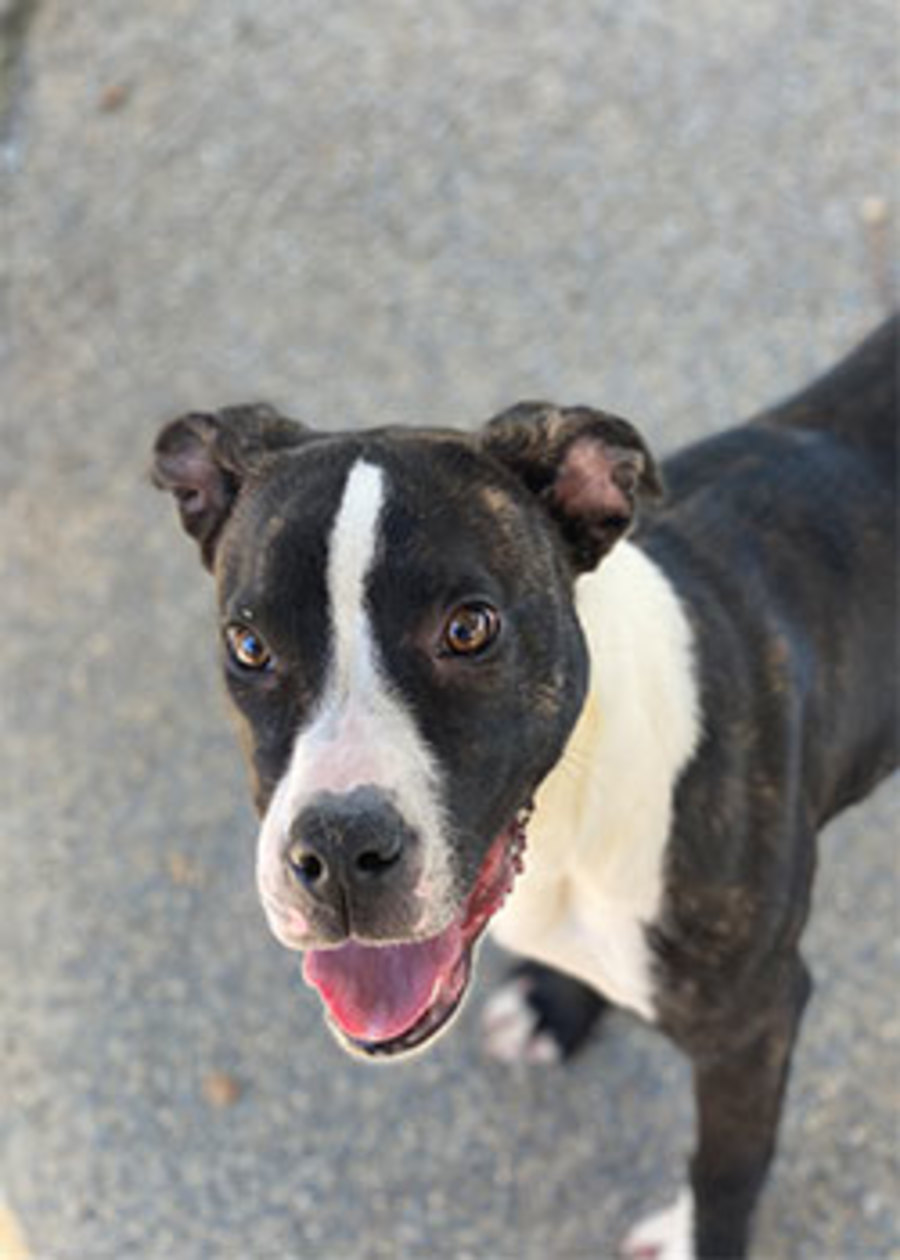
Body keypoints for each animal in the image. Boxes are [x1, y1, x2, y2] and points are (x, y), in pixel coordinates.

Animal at [153, 316, 898, 1258]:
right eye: (249, 646)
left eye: (469, 628)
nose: (338, 849)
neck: (573, 819)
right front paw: (555, 1006)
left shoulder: (753, 1025)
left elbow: (726, 1170)